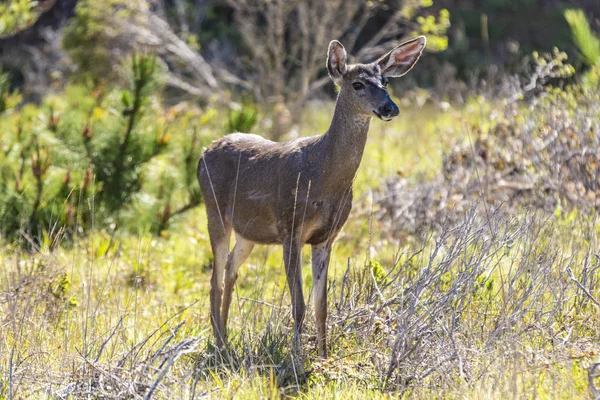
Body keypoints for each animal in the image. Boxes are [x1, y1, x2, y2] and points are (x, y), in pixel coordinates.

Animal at [198, 36, 426, 358]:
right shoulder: (290, 228)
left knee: (230, 269)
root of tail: (203, 152)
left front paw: (323, 355)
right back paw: (218, 344)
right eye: (357, 84)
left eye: (385, 81)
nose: (390, 107)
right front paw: (296, 356)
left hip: (249, 232)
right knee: (214, 278)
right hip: (214, 212)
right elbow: (299, 305)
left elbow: (322, 306)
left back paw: (226, 338)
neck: (323, 176)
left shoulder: (326, 237)